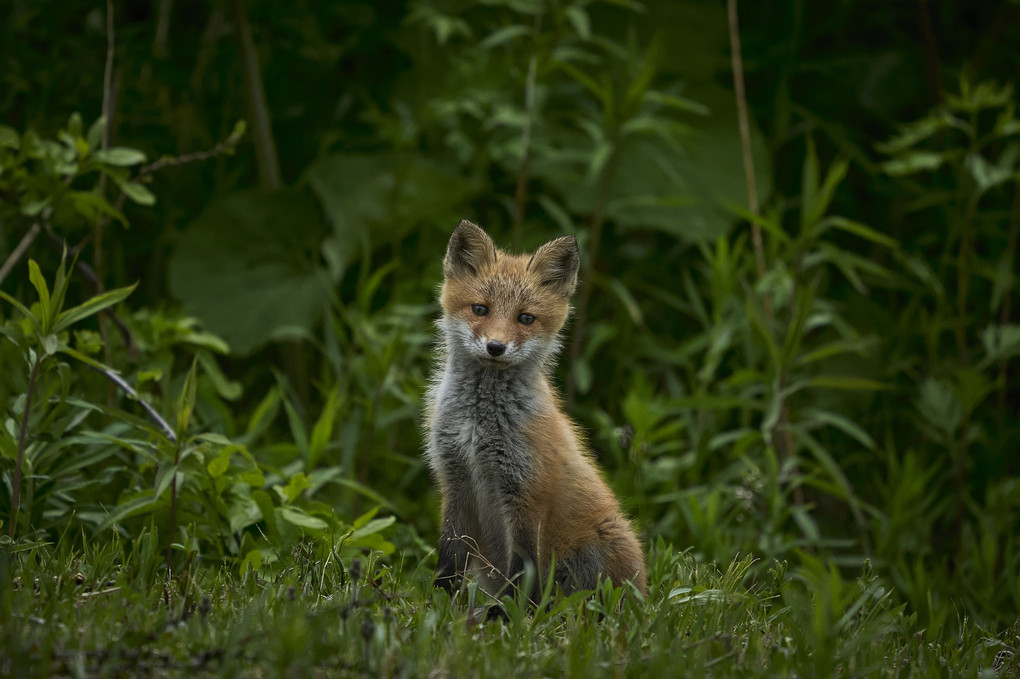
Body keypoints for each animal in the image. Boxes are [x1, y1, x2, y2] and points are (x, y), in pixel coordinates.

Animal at [426, 218, 648, 599]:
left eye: (526, 318)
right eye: (480, 309)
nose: (496, 347)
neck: (477, 426)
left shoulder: (527, 494)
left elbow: (522, 569)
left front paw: (508, 613)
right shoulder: (455, 483)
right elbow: (449, 560)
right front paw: (438, 603)